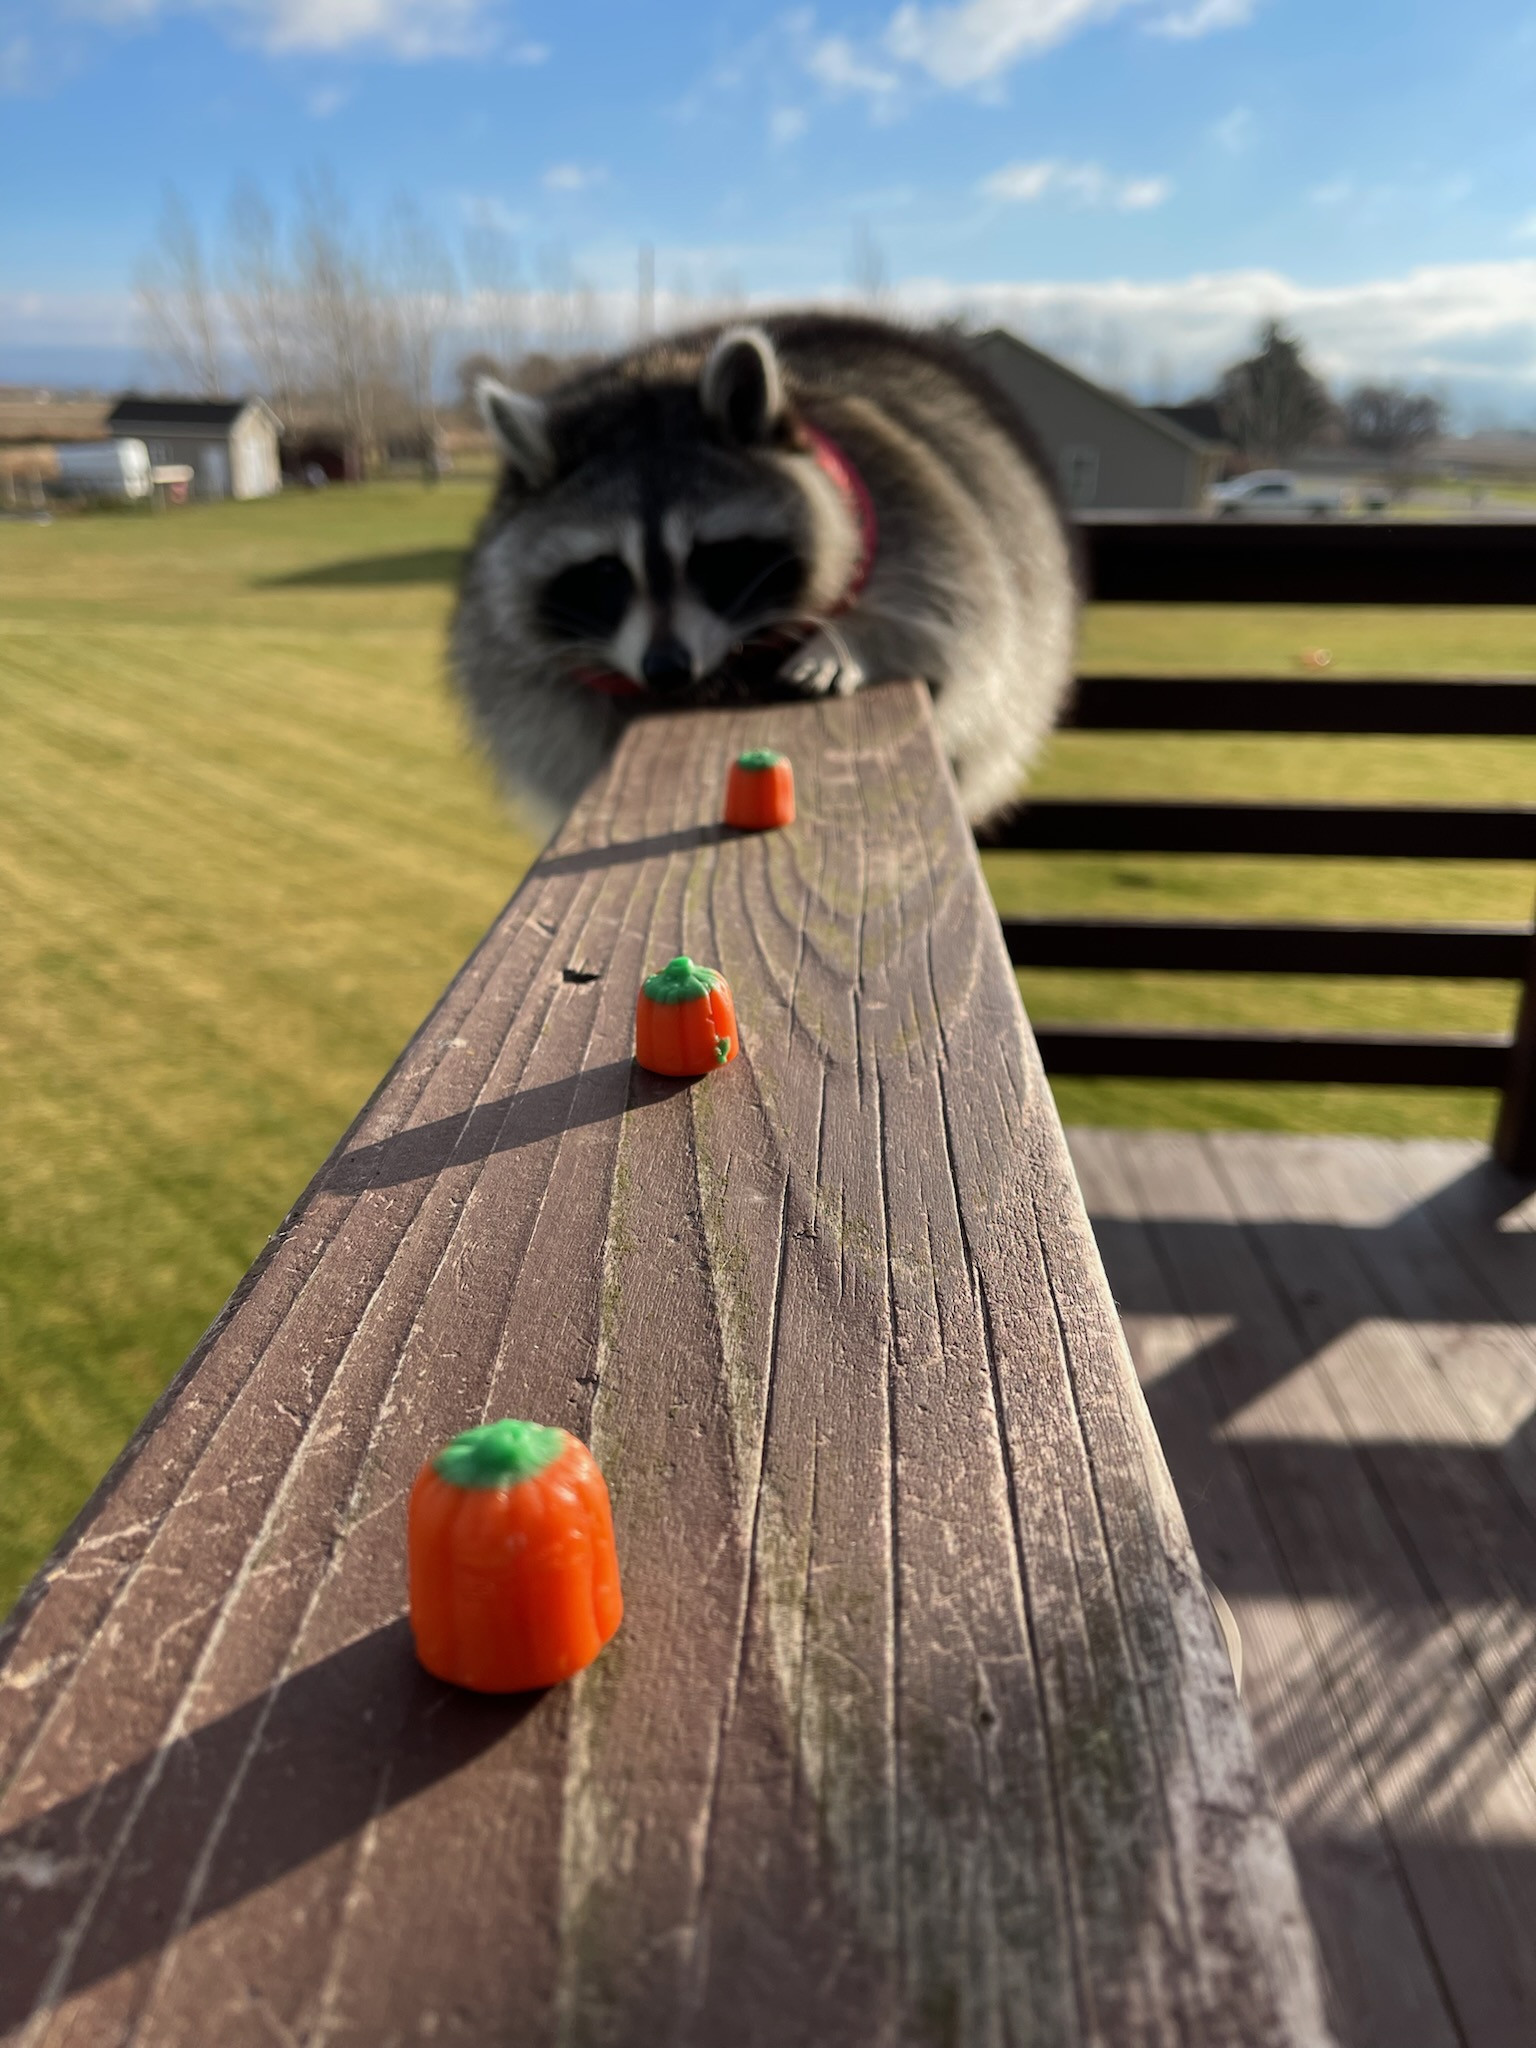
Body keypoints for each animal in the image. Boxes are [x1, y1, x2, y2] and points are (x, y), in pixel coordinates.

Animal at [451, 311, 1077, 826]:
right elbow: (542, 704)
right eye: (607, 572)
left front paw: (851, 638)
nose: (666, 669)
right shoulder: (502, 633)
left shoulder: (913, 501)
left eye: (710, 555)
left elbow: (964, 614)